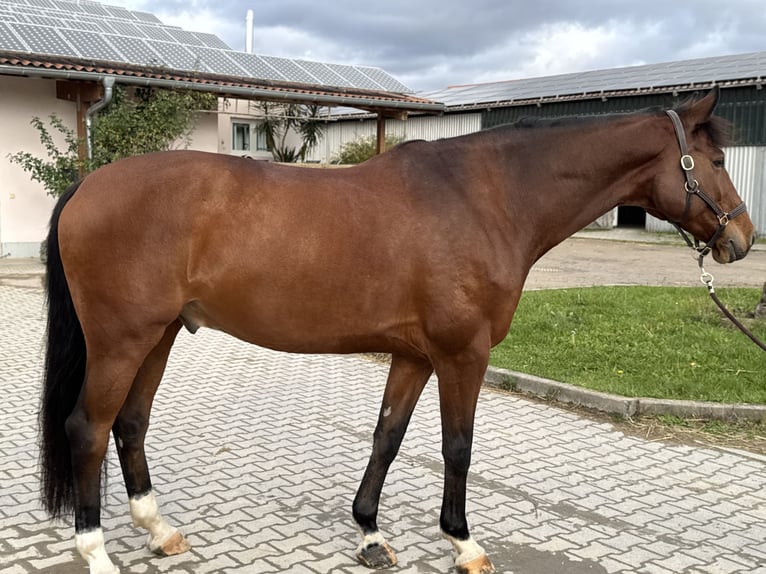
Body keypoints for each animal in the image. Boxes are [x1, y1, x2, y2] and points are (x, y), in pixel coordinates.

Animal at [39, 87, 755, 574]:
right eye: (717, 159)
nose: (742, 240)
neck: (486, 197)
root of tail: (88, 185)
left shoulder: (415, 356)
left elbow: (387, 438)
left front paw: (370, 534)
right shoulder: (463, 354)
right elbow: (457, 447)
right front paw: (464, 543)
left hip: (159, 335)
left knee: (130, 424)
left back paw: (159, 531)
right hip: (121, 341)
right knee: (89, 428)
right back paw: (96, 551)